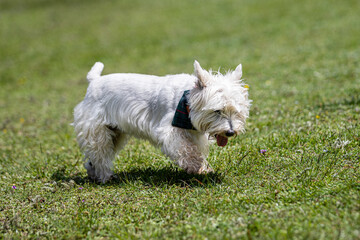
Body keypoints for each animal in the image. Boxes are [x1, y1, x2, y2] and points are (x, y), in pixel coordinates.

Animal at [73, 61, 250, 183]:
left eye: (236, 111)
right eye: (217, 111)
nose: (230, 132)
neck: (187, 101)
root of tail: (94, 81)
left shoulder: (192, 133)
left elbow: (194, 148)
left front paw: (203, 169)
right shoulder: (169, 130)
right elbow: (186, 150)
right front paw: (196, 166)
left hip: (115, 132)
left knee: (95, 156)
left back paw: (94, 174)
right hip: (97, 130)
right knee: (100, 154)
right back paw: (106, 177)